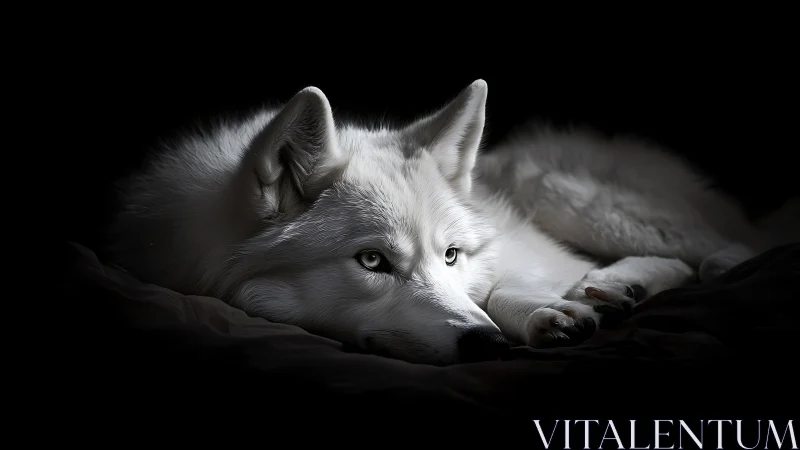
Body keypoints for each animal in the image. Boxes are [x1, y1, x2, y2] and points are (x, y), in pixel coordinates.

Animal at [105, 80, 797, 365]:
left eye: (451, 256)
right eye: (373, 261)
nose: (486, 347)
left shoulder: (512, 251)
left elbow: (503, 290)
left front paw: (547, 311)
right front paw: (554, 311)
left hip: (554, 189)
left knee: (725, 254)